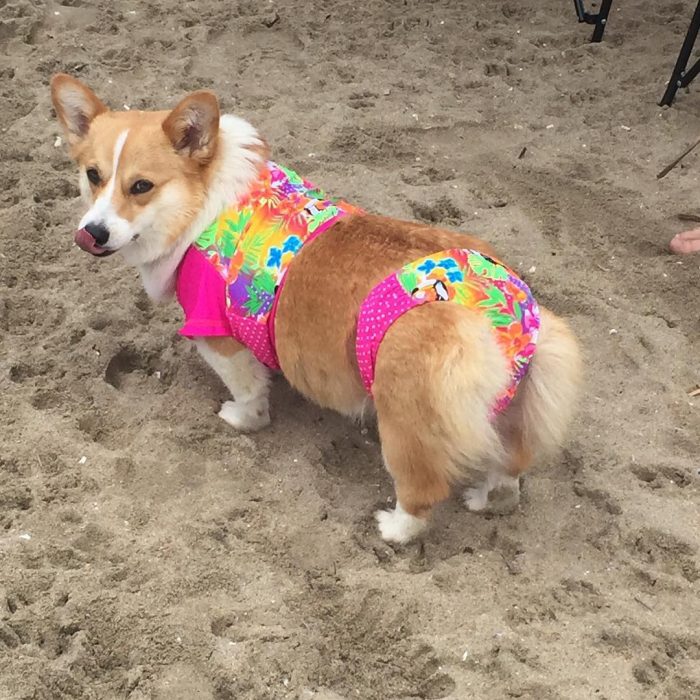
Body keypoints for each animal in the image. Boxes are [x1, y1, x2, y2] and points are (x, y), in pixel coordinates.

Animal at [52, 76, 584, 548]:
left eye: (141, 186)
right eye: (93, 176)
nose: (91, 233)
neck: (203, 205)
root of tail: (504, 316)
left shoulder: (217, 336)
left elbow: (248, 391)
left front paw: (241, 419)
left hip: (404, 418)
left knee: (422, 491)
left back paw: (394, 529)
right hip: (513, 408)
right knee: (511, 467)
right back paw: (485, 498)